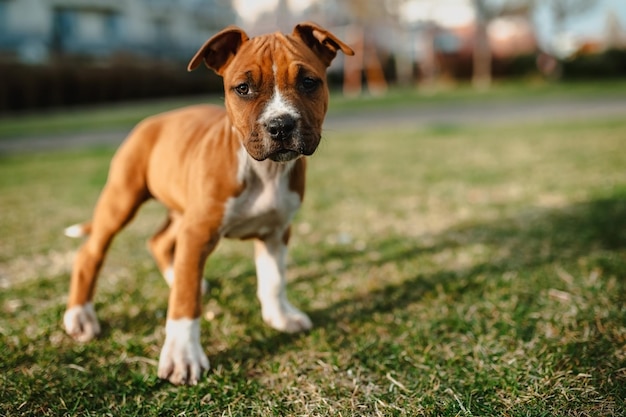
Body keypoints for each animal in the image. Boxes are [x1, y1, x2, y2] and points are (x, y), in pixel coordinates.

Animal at [62, 22, 352, 384]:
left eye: (309, 82)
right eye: (243, 88)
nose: (280, 125)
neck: (264, 170)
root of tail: (154, 120)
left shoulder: (275, 231)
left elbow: (274, 279)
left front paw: (280, 317)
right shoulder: (198, 232)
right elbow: (185, 303)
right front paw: (182, 356)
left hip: (181, 212)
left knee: (159, 242)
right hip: (122, 199)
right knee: (91, 253)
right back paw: (80, 315)